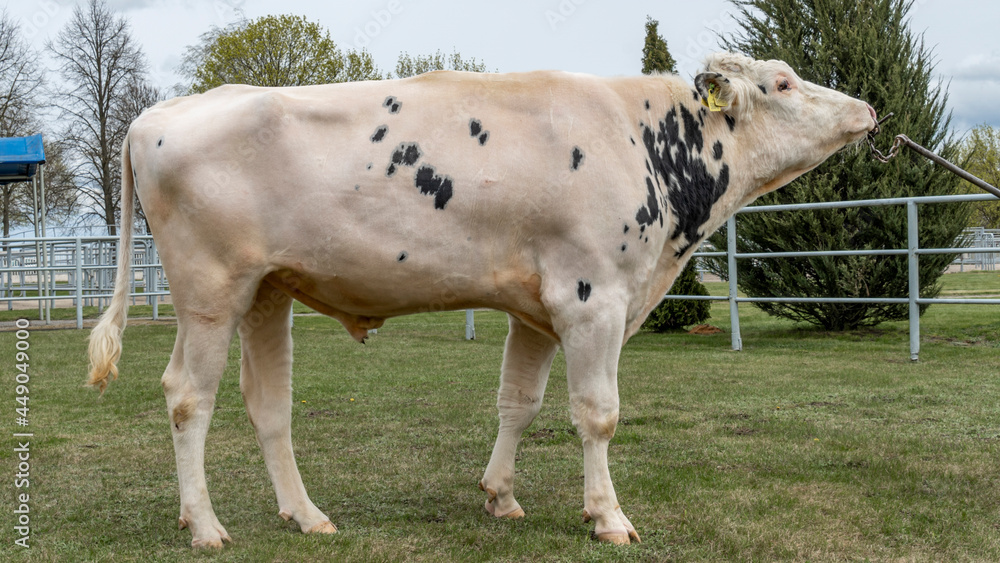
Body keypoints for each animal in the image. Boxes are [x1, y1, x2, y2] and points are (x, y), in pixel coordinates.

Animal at [88, 52, 877, 548]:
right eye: (783, 82)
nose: (865, 108)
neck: (645, 142)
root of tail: (157, 115)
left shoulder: (539, 308)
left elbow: (517, 402)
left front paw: (500, 494)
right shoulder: (592, 296)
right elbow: (597, 414)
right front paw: (607, 516)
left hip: (266, 291)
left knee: (268, 405)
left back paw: (306, 515)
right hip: (209, 291)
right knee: (187, 396)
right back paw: (205, 525)